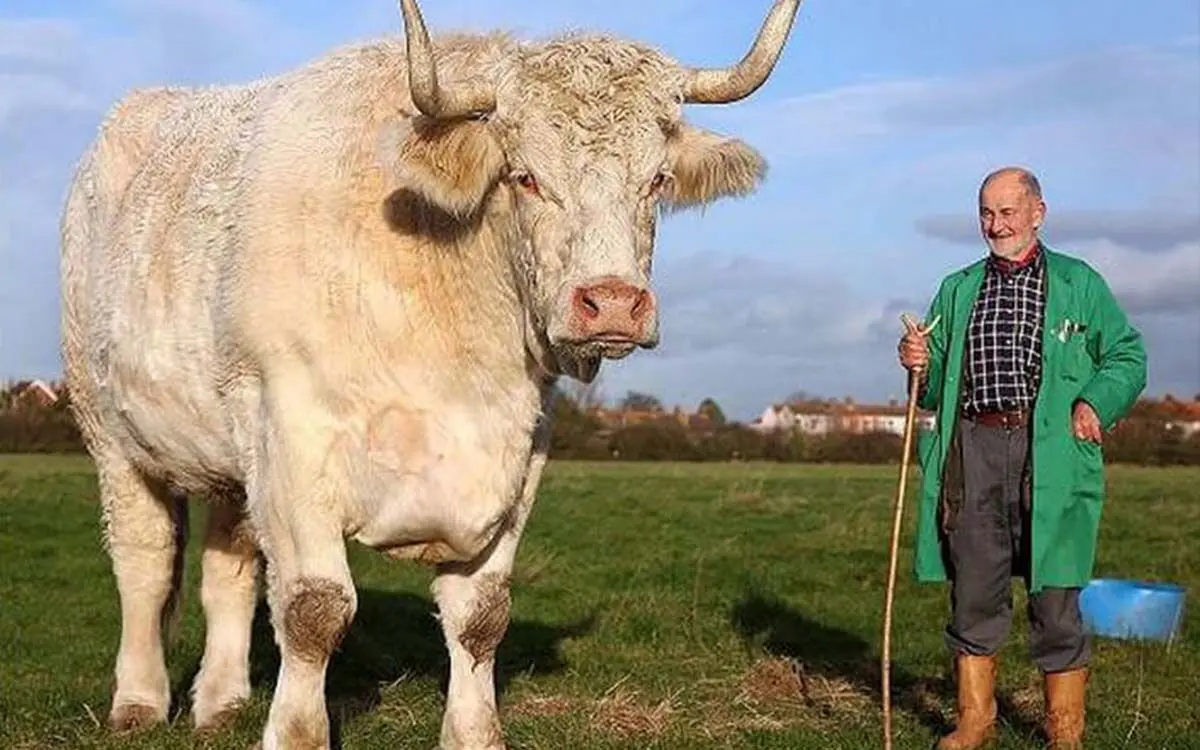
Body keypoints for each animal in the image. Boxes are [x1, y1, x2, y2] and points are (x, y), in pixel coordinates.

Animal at [58, 0, 804, 747]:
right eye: (524, 176)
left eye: (656, 181)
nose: (614, 303)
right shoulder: (291, 438)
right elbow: (314, 610)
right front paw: (297, 731)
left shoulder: (519, 454)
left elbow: (480, 617)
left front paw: (473, 733)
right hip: (111, 431)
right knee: (145, 563)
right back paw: (139, 701)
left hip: (231, 459)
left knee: (228, 570)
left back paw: (221, 702)